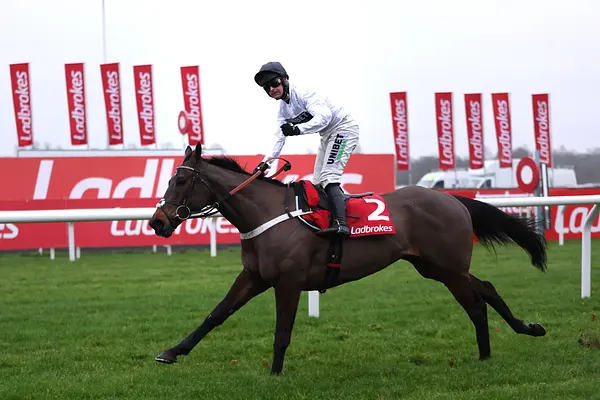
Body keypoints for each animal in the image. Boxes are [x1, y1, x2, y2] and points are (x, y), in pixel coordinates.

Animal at [149, 142, 548, 375]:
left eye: (180, 182)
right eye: (169, 180)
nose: (157, 222)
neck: (267, 214)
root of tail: (454, 200)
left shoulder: (288, 281)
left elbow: (282, 331)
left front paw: (275, 374)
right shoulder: (254, 277)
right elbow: (216, 314)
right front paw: (172, 351)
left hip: (448, 267)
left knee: (479, 299)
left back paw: (505, 342)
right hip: (434, 267)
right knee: (484, 293)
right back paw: (507, 341)